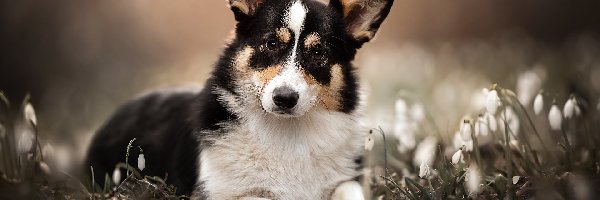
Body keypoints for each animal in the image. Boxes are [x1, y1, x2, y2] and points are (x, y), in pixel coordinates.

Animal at [85, 0, 394, 198]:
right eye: (271, 43)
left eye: (318, 53)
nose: (284, 99)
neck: (287, 131)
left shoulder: (347, 180)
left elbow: (351, 190)